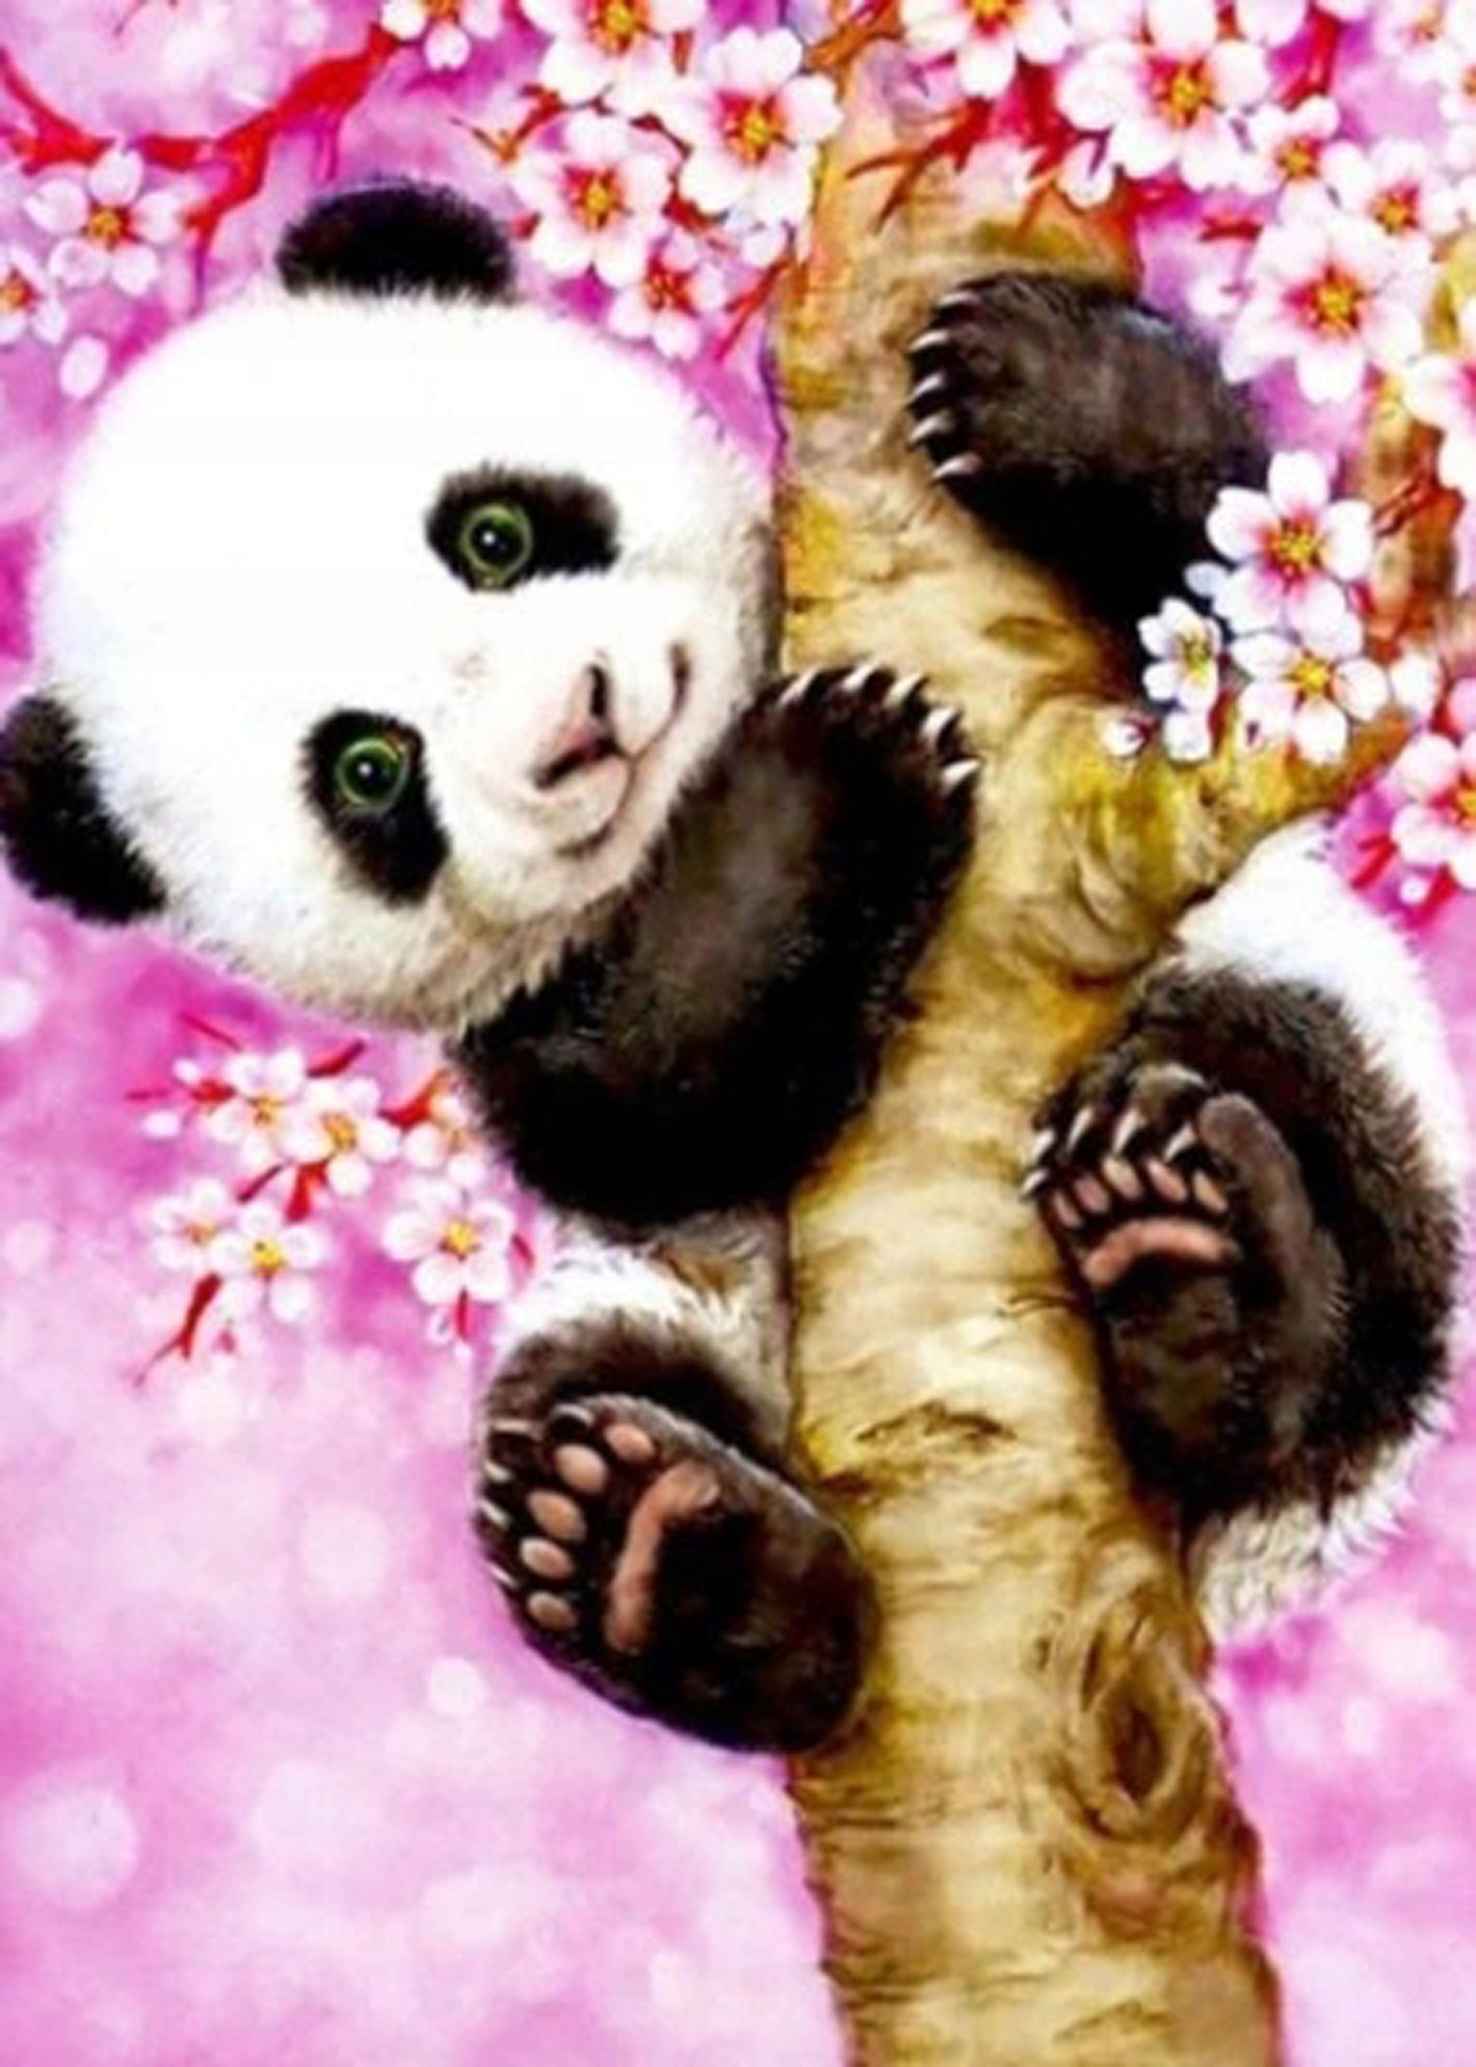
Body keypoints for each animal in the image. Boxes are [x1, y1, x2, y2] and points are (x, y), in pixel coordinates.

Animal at [0, 182, 1463, 1755]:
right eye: (368, 770)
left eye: (495, 533)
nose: (581, 722)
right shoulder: (523, 1019)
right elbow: (645, 1101)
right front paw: (832, 778)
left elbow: (1255, 590)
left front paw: (1026, 378)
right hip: (662, 1314)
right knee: (577, 1414)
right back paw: (675, 1559)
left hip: (1330, 1042)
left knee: (1309, 1132)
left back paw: (1199, 1266)